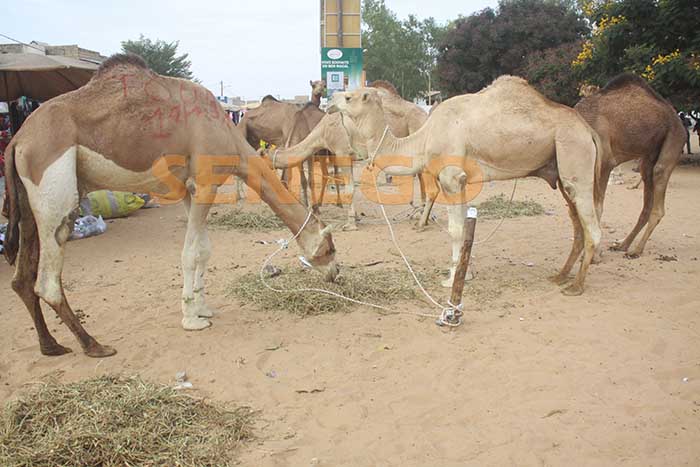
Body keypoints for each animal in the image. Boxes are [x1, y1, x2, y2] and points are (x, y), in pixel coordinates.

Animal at [2, 56, 336, 360]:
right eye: (330, 248)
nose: (336, 273)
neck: (226, 131)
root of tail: (18, 139)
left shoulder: (190, 190)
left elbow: (204, 249)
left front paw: (203, 309)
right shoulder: (205, 183)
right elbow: (190, 253)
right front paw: (191, 320)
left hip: (28, 199)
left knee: (22, 278)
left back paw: (51, 345)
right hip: (54, 189)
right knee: (47, 280)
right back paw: (93, 345)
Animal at [326, 77, 600, 296]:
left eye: (349, 97)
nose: (329, 100)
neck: (424, 137)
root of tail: (588, 129)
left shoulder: (451, 177)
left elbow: (455, 230)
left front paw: (452, 280)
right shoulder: (461, 180)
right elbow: (463, 229)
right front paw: (462, 273)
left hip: (574, 153)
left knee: (593, 228)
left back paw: (576, 286)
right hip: (561, 171)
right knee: (578, 226)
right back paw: (560, 276)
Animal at [576, 72, 688, 258]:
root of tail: (678, 120)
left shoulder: (605, 162)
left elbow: (597, 207)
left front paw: (593, 256)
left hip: (674, 140)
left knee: (658, 196)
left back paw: (636, 250)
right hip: (648, 158)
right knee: (646, 203)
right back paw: (622, 245)